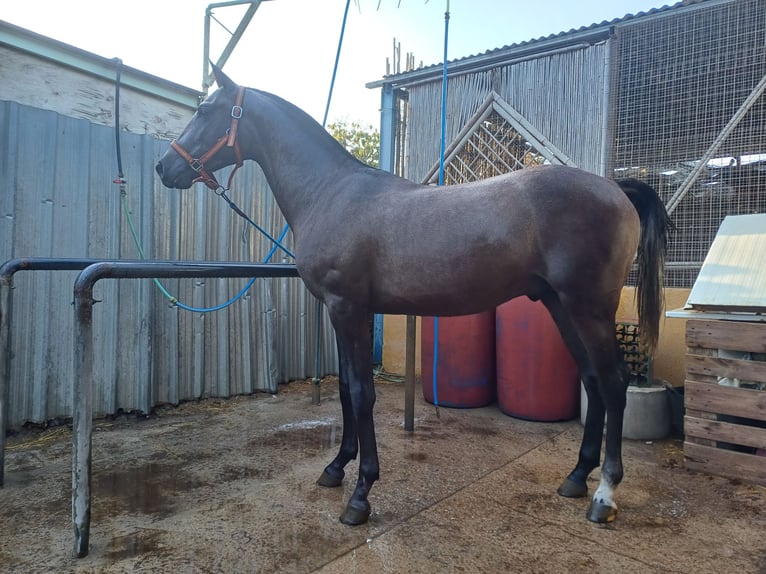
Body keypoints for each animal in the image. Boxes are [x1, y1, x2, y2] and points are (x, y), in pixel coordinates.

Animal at [158, 65, 672, 528]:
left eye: (205, 110)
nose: (166, 166)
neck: (330, 192)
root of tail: (614, 186)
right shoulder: (342, 312)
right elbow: (345, 390)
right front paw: (335, 468)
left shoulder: (348, 308)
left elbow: (362, 393)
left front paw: (361, 495)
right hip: (560, 307)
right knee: (592, 381)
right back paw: (576, 477)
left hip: (589, 309)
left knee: (614, 383)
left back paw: (604, 495)